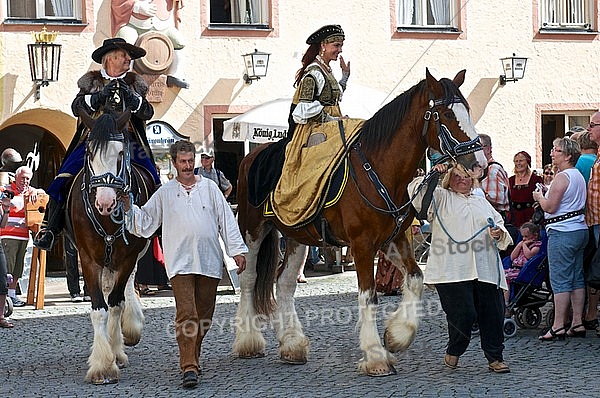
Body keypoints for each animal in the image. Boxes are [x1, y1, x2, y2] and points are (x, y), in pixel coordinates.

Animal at [67, 109, 156, 386]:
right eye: (89, 153)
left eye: (120, 153)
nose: (105, 202)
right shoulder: (88, 259)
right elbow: (99, 309)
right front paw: (101, 365)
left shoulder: (127, 257)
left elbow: (116, 303)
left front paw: (114, 355)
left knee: (126, 288)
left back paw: (129, 328)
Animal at [232, 69, 490, 376]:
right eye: (448, 114)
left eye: (468, 111)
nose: (479, 164)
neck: (380, 170)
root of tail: (251, 156)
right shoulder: (362, 244)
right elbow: (369, 296)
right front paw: (376, 355)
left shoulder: (393, 239)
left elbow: (416, 278)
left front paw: (397, 335)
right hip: (253, 231)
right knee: (249, 278)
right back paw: (248, 341)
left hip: (296, 235)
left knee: (284, 282)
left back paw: (292, 344)